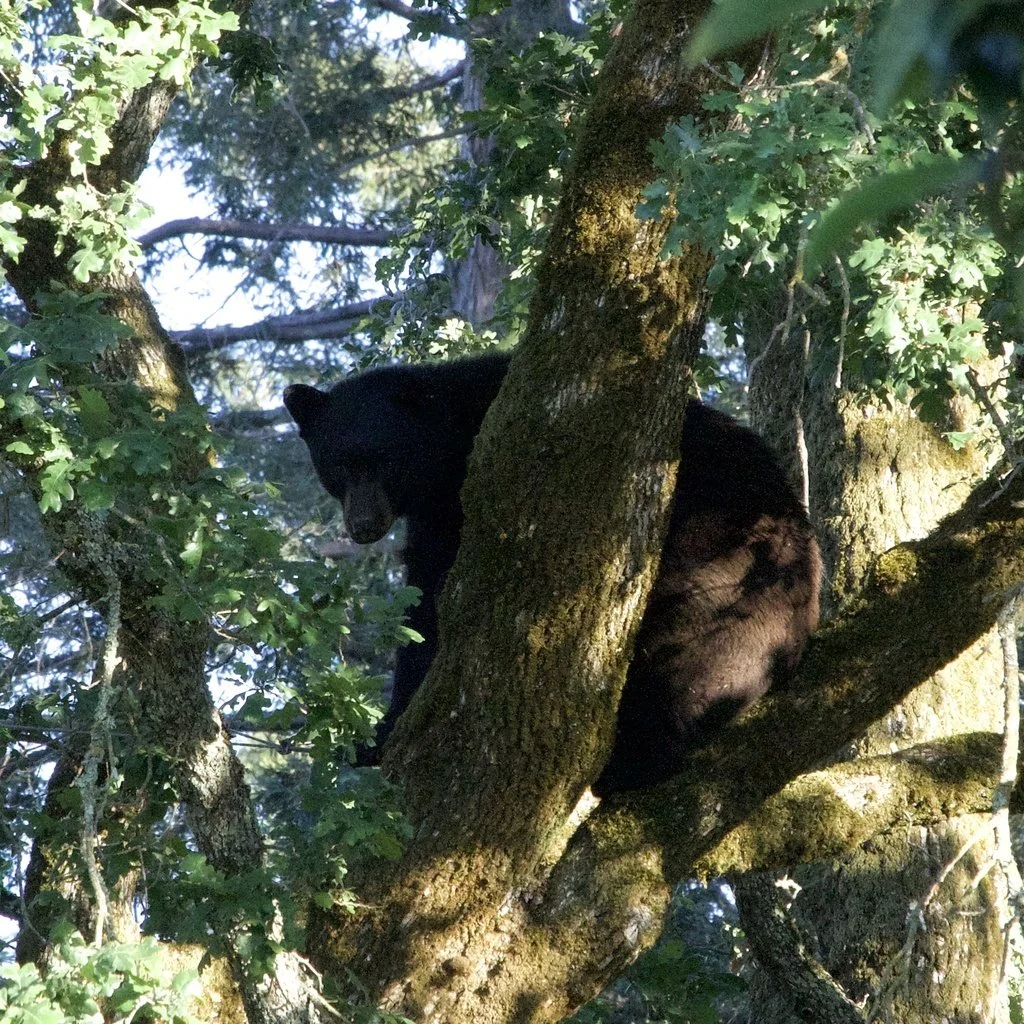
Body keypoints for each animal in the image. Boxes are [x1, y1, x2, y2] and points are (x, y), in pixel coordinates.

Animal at [283, 351, 820, 795]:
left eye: (385, 461)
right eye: (338, 466)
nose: (363, 523)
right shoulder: (434, 515)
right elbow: (424, 604)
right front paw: (377, 734)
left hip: (715, 566)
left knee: (679, 657)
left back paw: (631, 761)